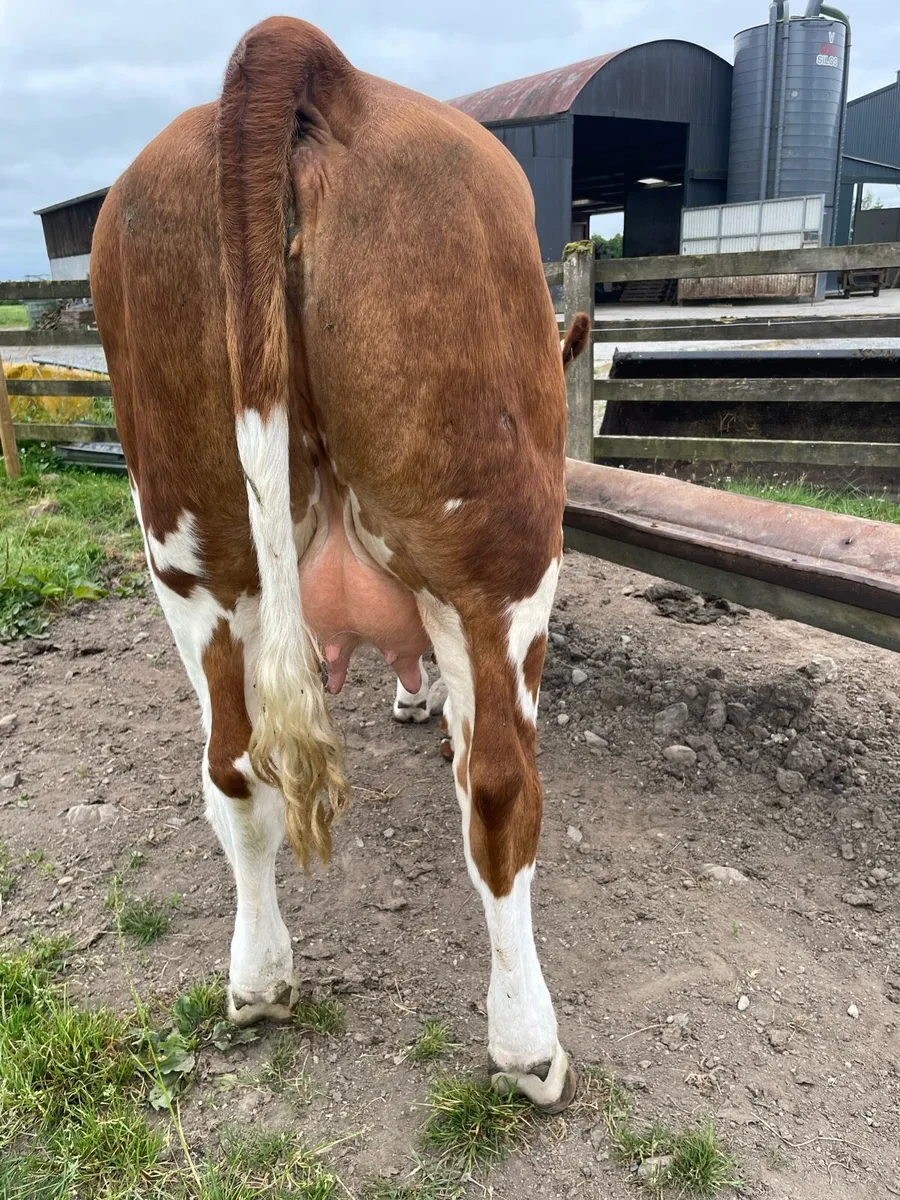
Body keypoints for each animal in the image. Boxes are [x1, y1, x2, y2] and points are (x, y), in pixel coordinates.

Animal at [91, 16, 590, 1113]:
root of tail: (323, 65)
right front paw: (417, 699)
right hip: (502, 551)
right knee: (500, 792)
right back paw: (528, 1044)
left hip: (194, 554)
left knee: (234, 770)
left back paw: (259, 981)